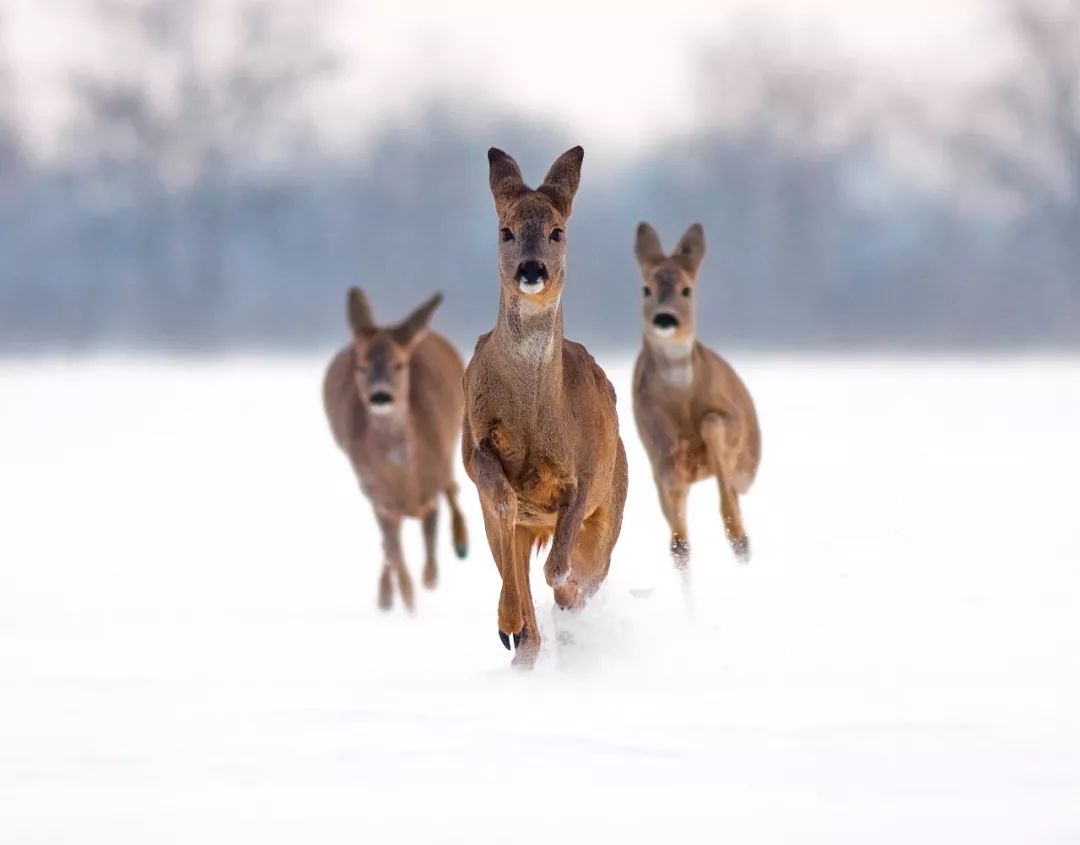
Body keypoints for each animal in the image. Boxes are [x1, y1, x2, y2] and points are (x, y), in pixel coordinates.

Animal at [321, 289, 470, 609]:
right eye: (362, 366)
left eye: (399, 365)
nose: (379, 396)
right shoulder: (378, 496)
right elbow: (394, 552)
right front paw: (405, 598)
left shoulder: (430, 483)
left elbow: (430, 534)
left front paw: (429, 579)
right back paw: (387, 595)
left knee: (452, 487)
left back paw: (461, 543)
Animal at [460, 149, 630, 669]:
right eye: (506, 230)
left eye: (558, 231)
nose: (532, 269)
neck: (536, 416)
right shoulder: (474, 445)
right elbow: (502, 499)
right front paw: (511, 625)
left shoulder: (588, 471)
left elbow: (559, 567)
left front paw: (565, 602)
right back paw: (518, 637)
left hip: (613, 504)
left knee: (585, 570)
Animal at [630, 221, 760, 574]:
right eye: (645, 289)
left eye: (687, 290)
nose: (665, 319)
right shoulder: (657, 449)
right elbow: (679, 542)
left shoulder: (730, 422)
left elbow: (712, 422)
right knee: (680, 544)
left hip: (748, 465)